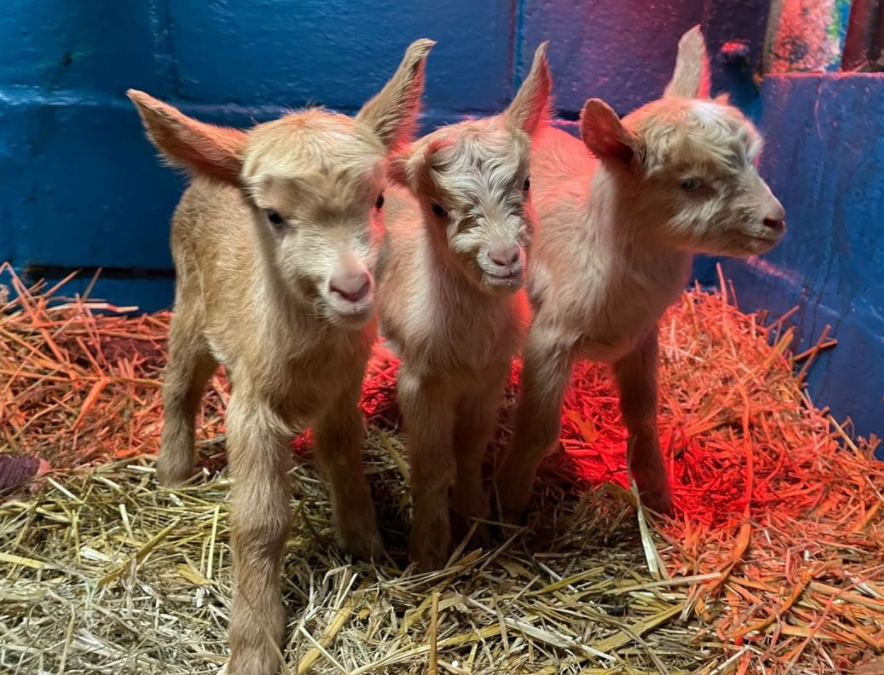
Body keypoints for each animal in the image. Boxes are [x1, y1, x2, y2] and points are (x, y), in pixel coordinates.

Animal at [129, 41, 434, 675]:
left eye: (378, 199)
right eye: (274, 215)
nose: (352, 286)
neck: (310, 357)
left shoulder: (343, 393)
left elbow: (343, 456)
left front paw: (366, 546)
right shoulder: (252, 408)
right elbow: (260, 522)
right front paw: (254, 644)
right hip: (189, 304)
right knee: (180, 387)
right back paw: (173, 475)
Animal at [382, 43, 552, 572]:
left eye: (527, 183)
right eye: (438, 208)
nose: (504, 259)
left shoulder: (490, 376)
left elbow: (470, 451)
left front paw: (477, 526)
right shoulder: (420, 382)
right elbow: (433, 466)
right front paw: (430, 552)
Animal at [498, 26, 788, 520]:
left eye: (754, 162)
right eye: (690, 184)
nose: (776, 220)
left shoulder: (641, 337)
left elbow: (643, 418)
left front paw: (657, 496)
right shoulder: (550, 339)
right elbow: (539, 430)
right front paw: (509, 505)